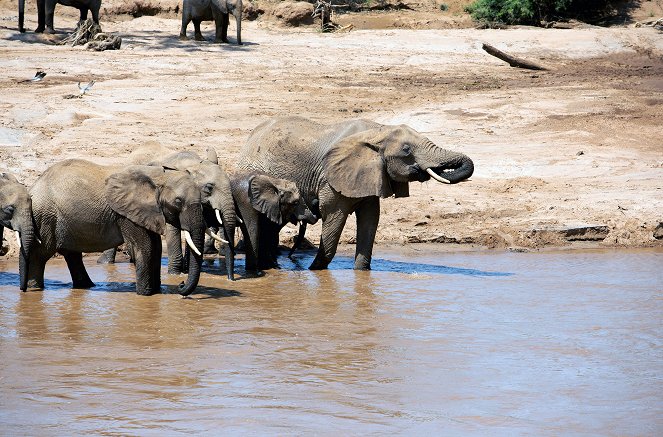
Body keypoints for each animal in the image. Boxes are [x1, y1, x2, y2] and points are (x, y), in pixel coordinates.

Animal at [27, 158, 208, 294]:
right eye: (178, 201)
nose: (181, 284)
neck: (158, 176)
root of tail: (34, 186)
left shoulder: (146, 211)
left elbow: (155, 248)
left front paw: (156, 294)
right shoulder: (126, 213)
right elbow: (145, 248)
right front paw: (145, 295)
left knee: (72, 254)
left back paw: (86, 286)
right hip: (46, 216)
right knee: (41, 254)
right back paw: (34, 289)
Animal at [237, 116, 472, 270]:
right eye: (406, 150)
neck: (378, 131)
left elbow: (370, 219)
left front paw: (361, 272)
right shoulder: (330, 179)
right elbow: (334, 217)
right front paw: (316, 270)